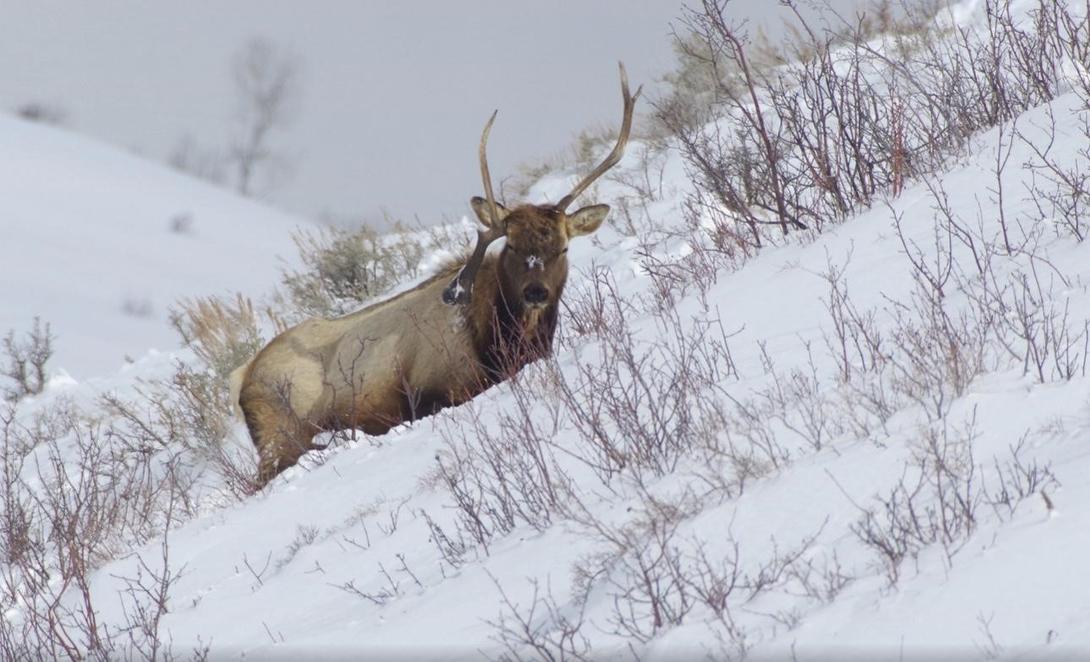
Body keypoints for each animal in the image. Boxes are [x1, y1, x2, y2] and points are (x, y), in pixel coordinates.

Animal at [231, 64, 641, 485]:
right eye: (511, 245)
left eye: (562, 248)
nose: (535, 293)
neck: (500, 342)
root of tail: (242, 377)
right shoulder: (434, 392)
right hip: (282, 436)